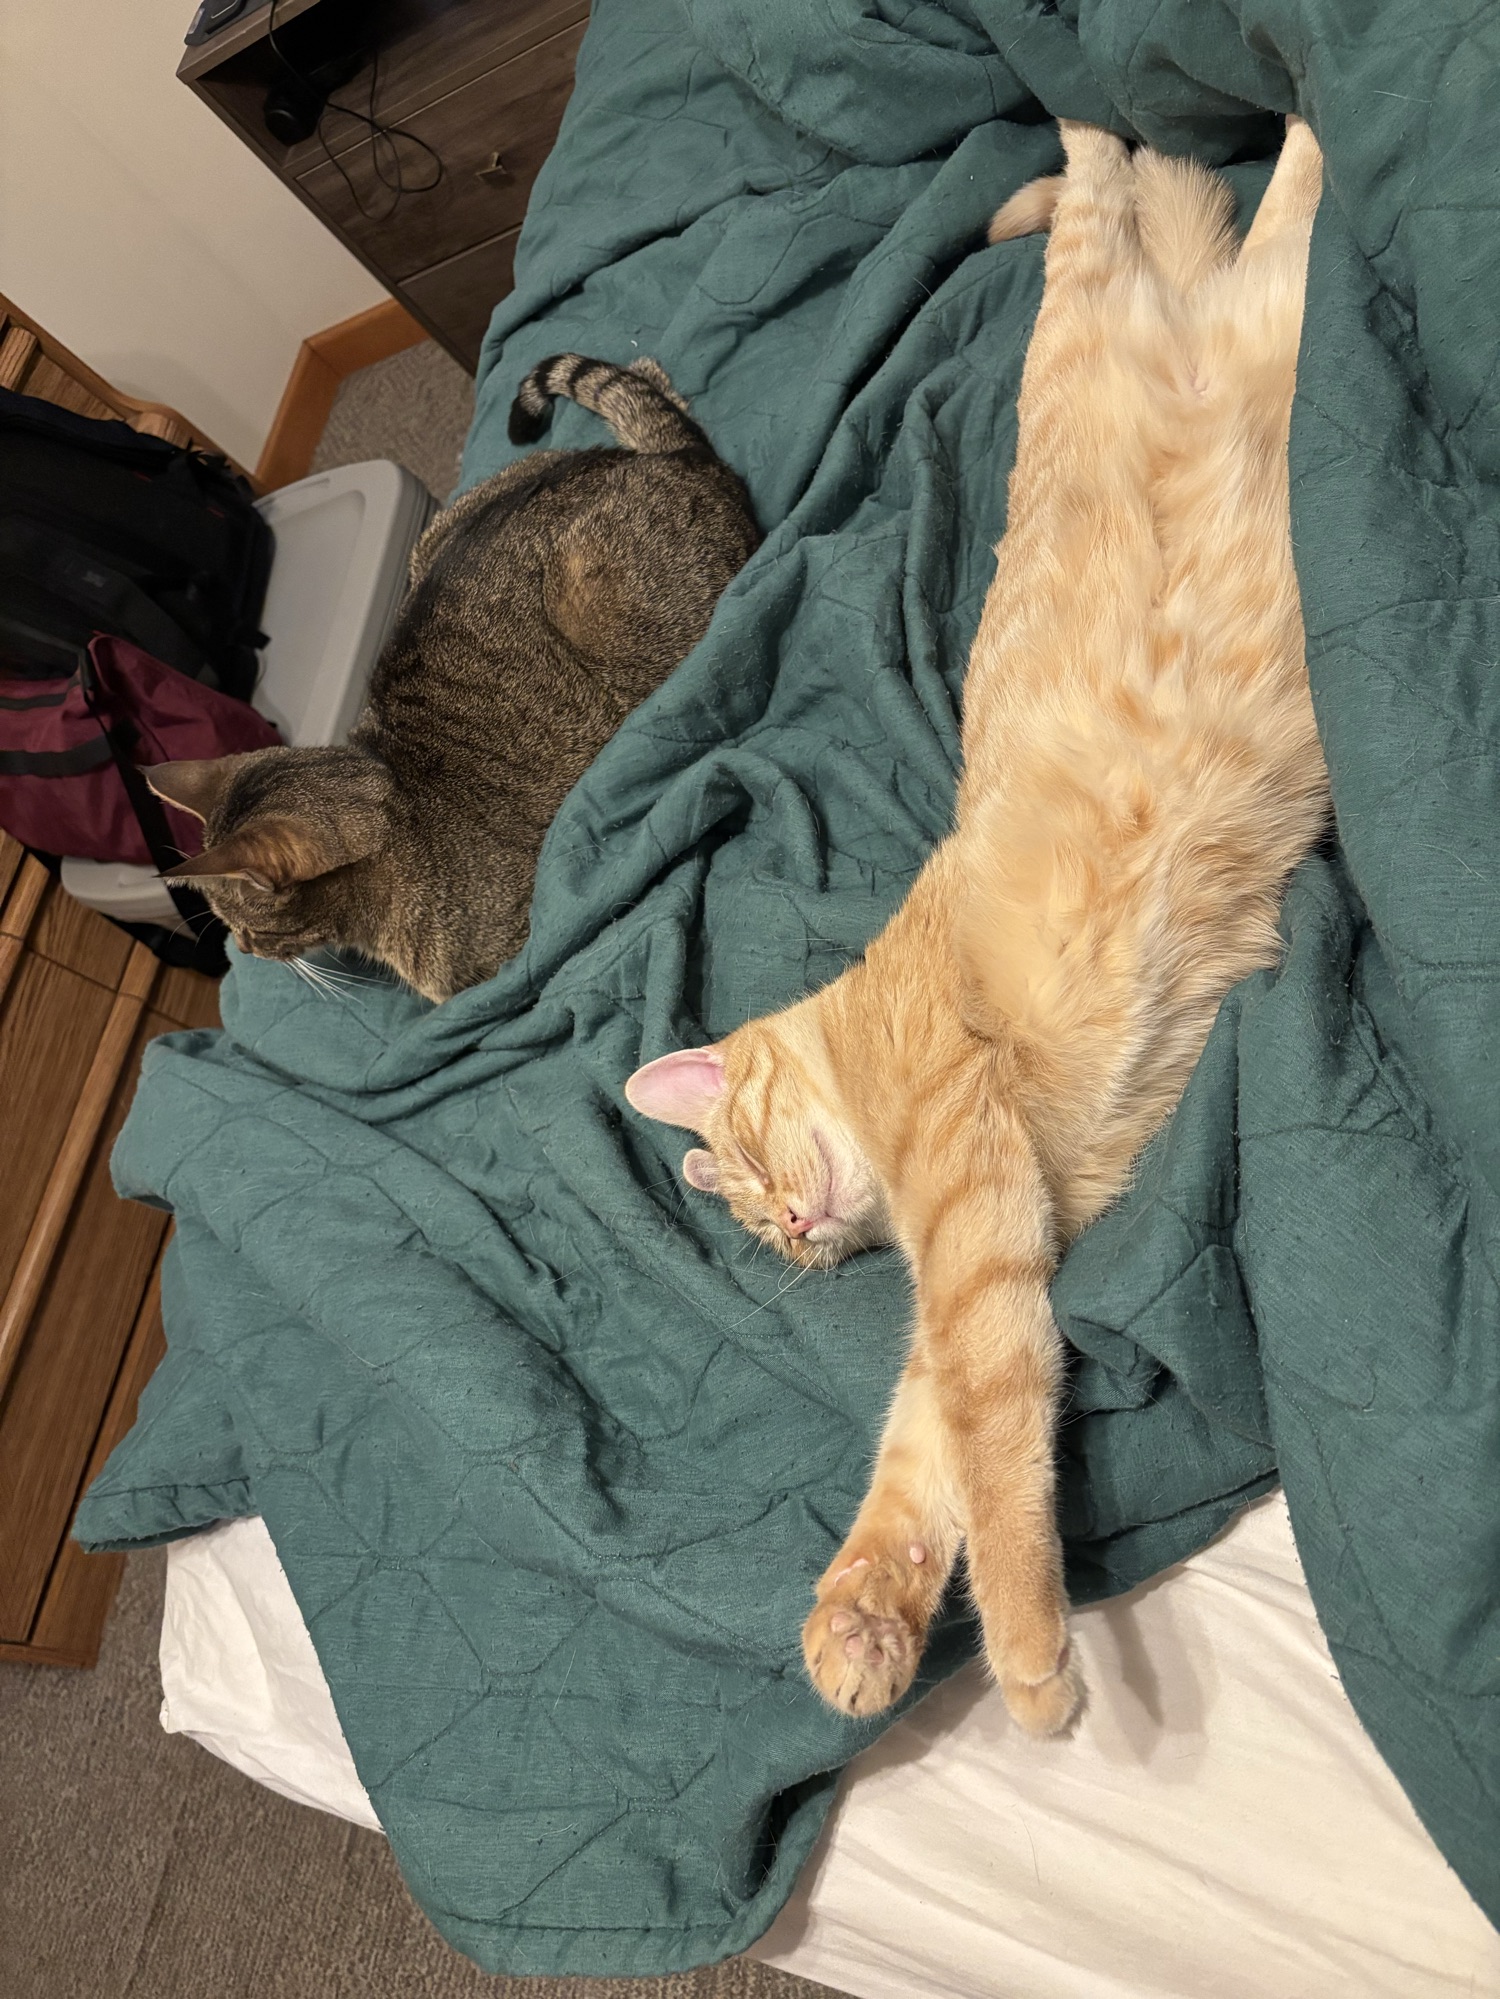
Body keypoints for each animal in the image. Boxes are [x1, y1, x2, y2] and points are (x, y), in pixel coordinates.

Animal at [625, 120, 1329, 1735]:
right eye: (760, 1220)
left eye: (744, 1162)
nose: (795, 1229)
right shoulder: (1003, 1233)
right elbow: (926, 1447)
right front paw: (865, 1617)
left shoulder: (971, 1197)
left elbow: (993, 1438)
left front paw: (1025, 1648)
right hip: (1223, 282)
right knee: (1162, 181)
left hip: (1188, 300)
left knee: (1143, 157)